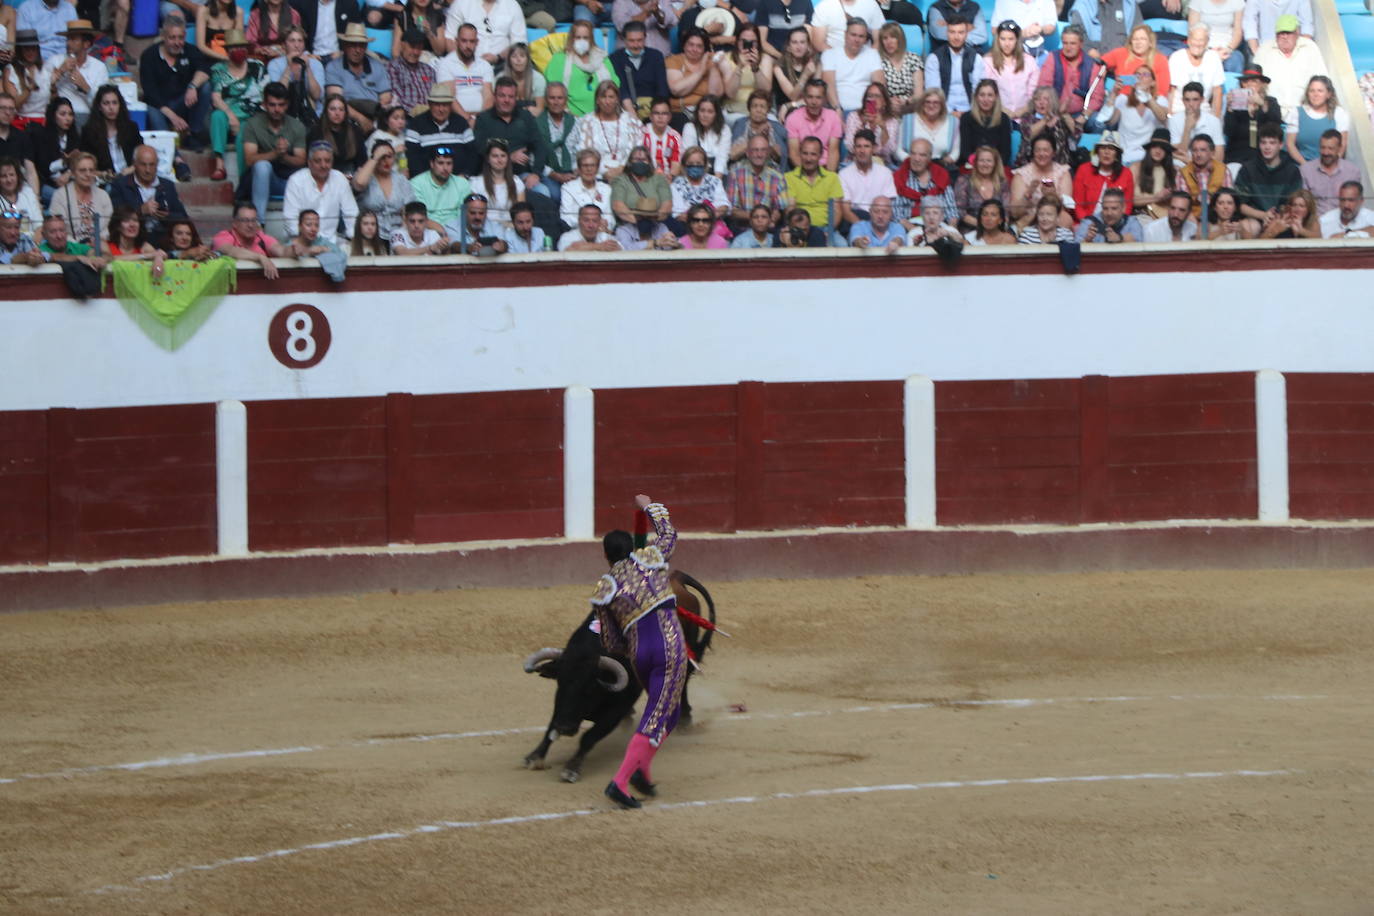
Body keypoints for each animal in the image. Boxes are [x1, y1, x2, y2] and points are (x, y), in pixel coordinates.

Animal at [519, 574, 719, 780]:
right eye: (560, 682)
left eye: (590, 688)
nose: (565, 728)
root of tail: (675, 578)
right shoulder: (562, 704)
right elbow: (551, 726)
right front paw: (534, 757)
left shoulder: (615, 711)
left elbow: (589, 737)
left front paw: (571, 768)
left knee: (683, 683)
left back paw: (684, 720)